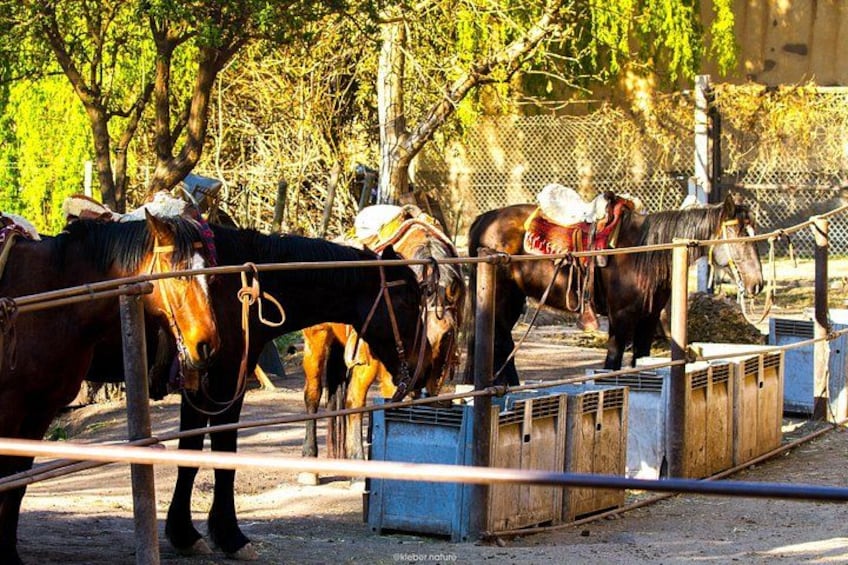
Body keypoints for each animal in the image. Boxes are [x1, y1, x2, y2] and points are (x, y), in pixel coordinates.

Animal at [0, 212, 220, 565]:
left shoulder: (40, 411)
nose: (207, 346)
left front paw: (9, 553)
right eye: (178, 273)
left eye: (210, 276)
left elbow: (17, 482)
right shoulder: (9, 408)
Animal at [161, 223, 427, 559]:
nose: (424, 366)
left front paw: (188, 532)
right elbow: (213, 451)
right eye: (407, 301)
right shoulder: (221, 382)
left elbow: (194, 449)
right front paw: (223, 535)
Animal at [300, 209, 465, 475]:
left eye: (446, 335)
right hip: (318, 340)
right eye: (414, 331)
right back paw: (313, 463)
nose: (419, 373)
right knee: (319, 395)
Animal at [465, 193, 764, 386]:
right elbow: (613, 364)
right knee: (499, 339)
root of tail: (484, 219)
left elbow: (640, 360)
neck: (643, 251)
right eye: (736, 234)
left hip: (514, 299)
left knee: (501, 340)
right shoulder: (621, 317)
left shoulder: (648, 318)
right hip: (501, 297)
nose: (757, 283)